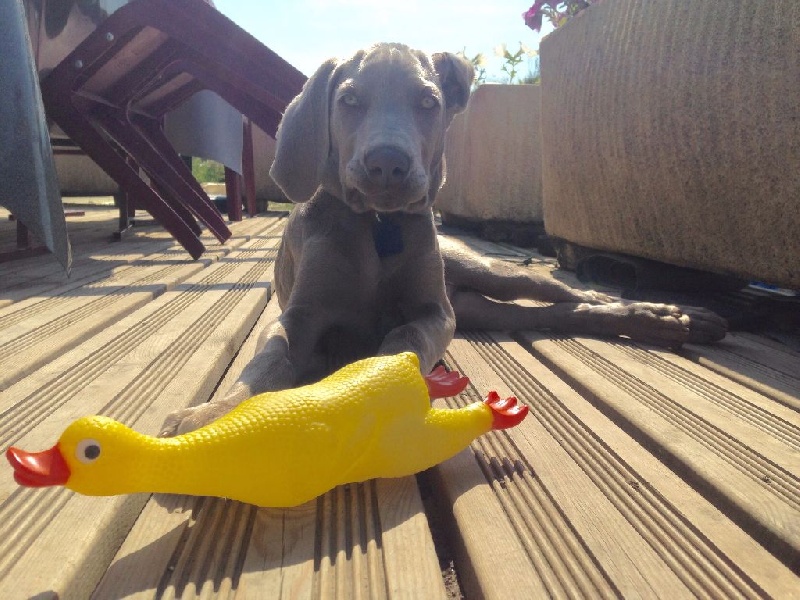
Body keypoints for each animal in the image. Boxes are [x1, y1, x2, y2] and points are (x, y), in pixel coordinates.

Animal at [159, 42, 728, 436]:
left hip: (486, 274)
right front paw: (211, 415)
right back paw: (672, 322)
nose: (387, 163)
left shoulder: (435, 312)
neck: (378, 226)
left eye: (428, 102)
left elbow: (404, 340)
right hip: (479, 309)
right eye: (348, 99)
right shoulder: (299, 316)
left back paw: (679, 315)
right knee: (559, 315)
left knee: (574, 294)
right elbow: (268, 360)